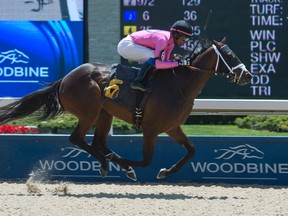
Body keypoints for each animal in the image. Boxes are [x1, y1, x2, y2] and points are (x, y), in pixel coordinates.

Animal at [0, 38, 252, 181]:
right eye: (230, 55)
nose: (248, 75)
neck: (180, 84)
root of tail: (66, 78)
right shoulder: (151, 128)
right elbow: (146, 161)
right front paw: (132, 167)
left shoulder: (172, 127)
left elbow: (191, 151)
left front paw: (165, 171)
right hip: (89, 111)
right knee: (77, 139)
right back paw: (106, 163)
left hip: (105, 113)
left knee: (98, 142)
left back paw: (110, 161)